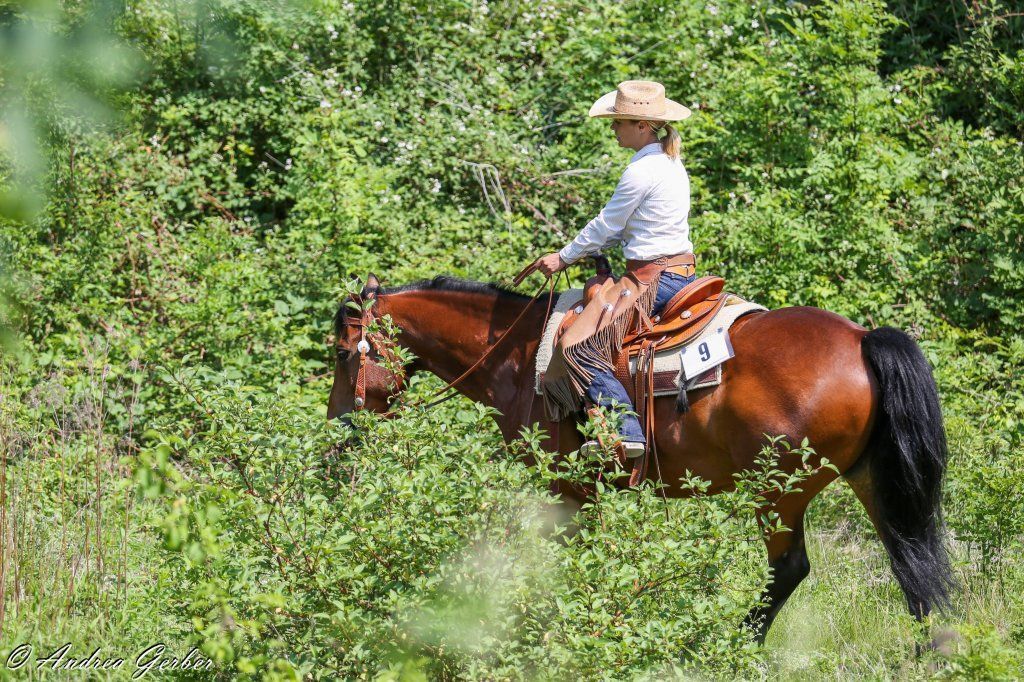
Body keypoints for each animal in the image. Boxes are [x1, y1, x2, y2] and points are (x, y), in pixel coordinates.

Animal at [327, 271, 953, 644]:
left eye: (342, 352)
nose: (338, 429)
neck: (517, 358)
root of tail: (863, 340)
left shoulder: (566, 489)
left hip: (779, 491)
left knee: (790, 570)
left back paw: (730, 646)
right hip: (869, 479)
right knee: (914, 561)